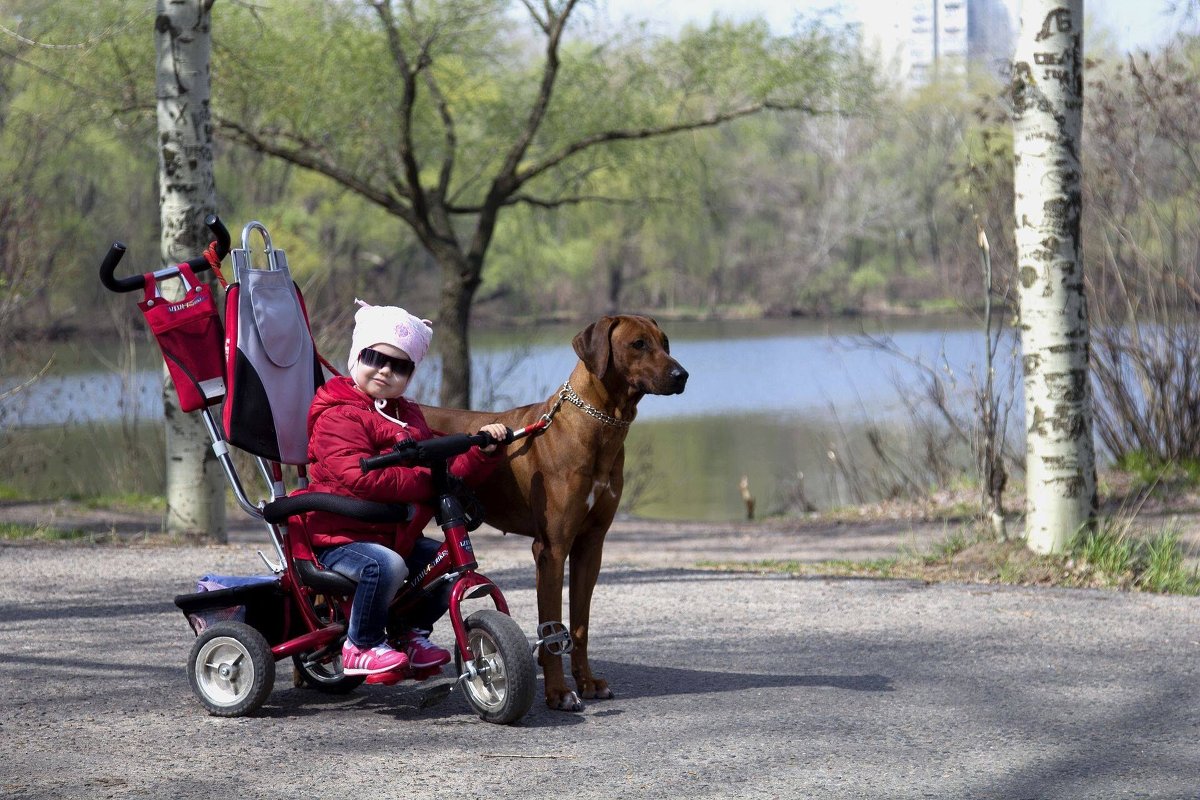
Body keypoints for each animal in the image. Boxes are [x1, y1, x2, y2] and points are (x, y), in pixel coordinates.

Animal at [422, 316, 691, 710]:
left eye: (665, 342)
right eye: (638, 344)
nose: (681, 375)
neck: (598, 425)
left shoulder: (590, 545)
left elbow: (579, 625)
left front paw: (588, 682)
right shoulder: (551, 548)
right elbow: (550, 627)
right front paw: (558, 692)